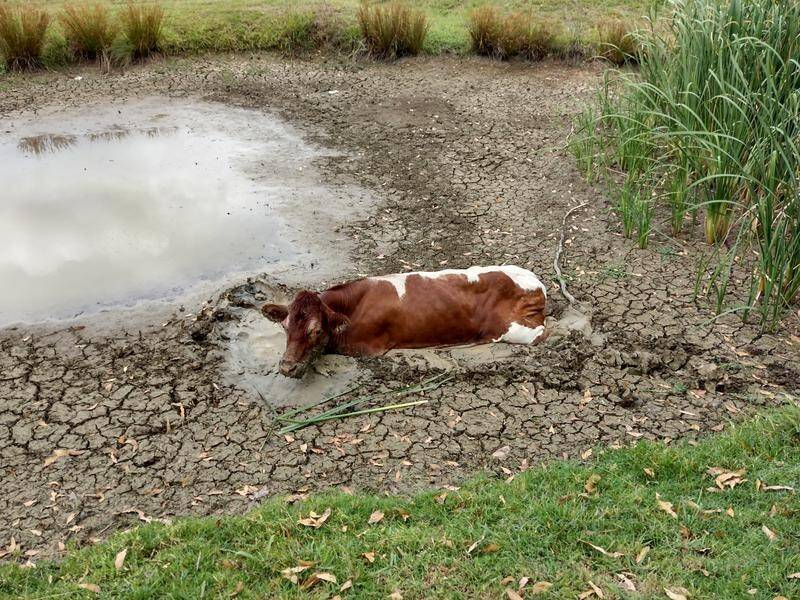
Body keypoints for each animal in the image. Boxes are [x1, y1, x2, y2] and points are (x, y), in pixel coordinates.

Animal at [262, 265, 548, 378]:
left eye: (317, 330)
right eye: (285, 326)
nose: (286, 367)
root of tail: (536, 282)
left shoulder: (365, 349)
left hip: (516, 330)